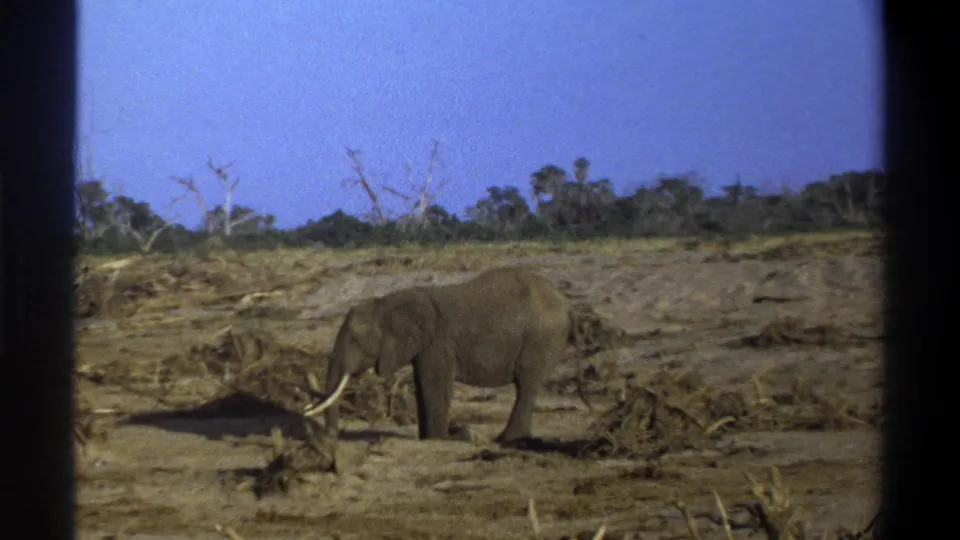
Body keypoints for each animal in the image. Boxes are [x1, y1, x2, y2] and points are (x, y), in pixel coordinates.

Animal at [304, 266, 588, 443]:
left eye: (355, 340)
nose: (332, 436)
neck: (386, 304)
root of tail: (568, 304)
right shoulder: (424, 347)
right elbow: (422, 384)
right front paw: (427, 438)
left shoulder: (438, 343)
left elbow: (435, 385)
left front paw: (441, 438)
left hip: (541, 337)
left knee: (527, 383)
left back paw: (506, 439)